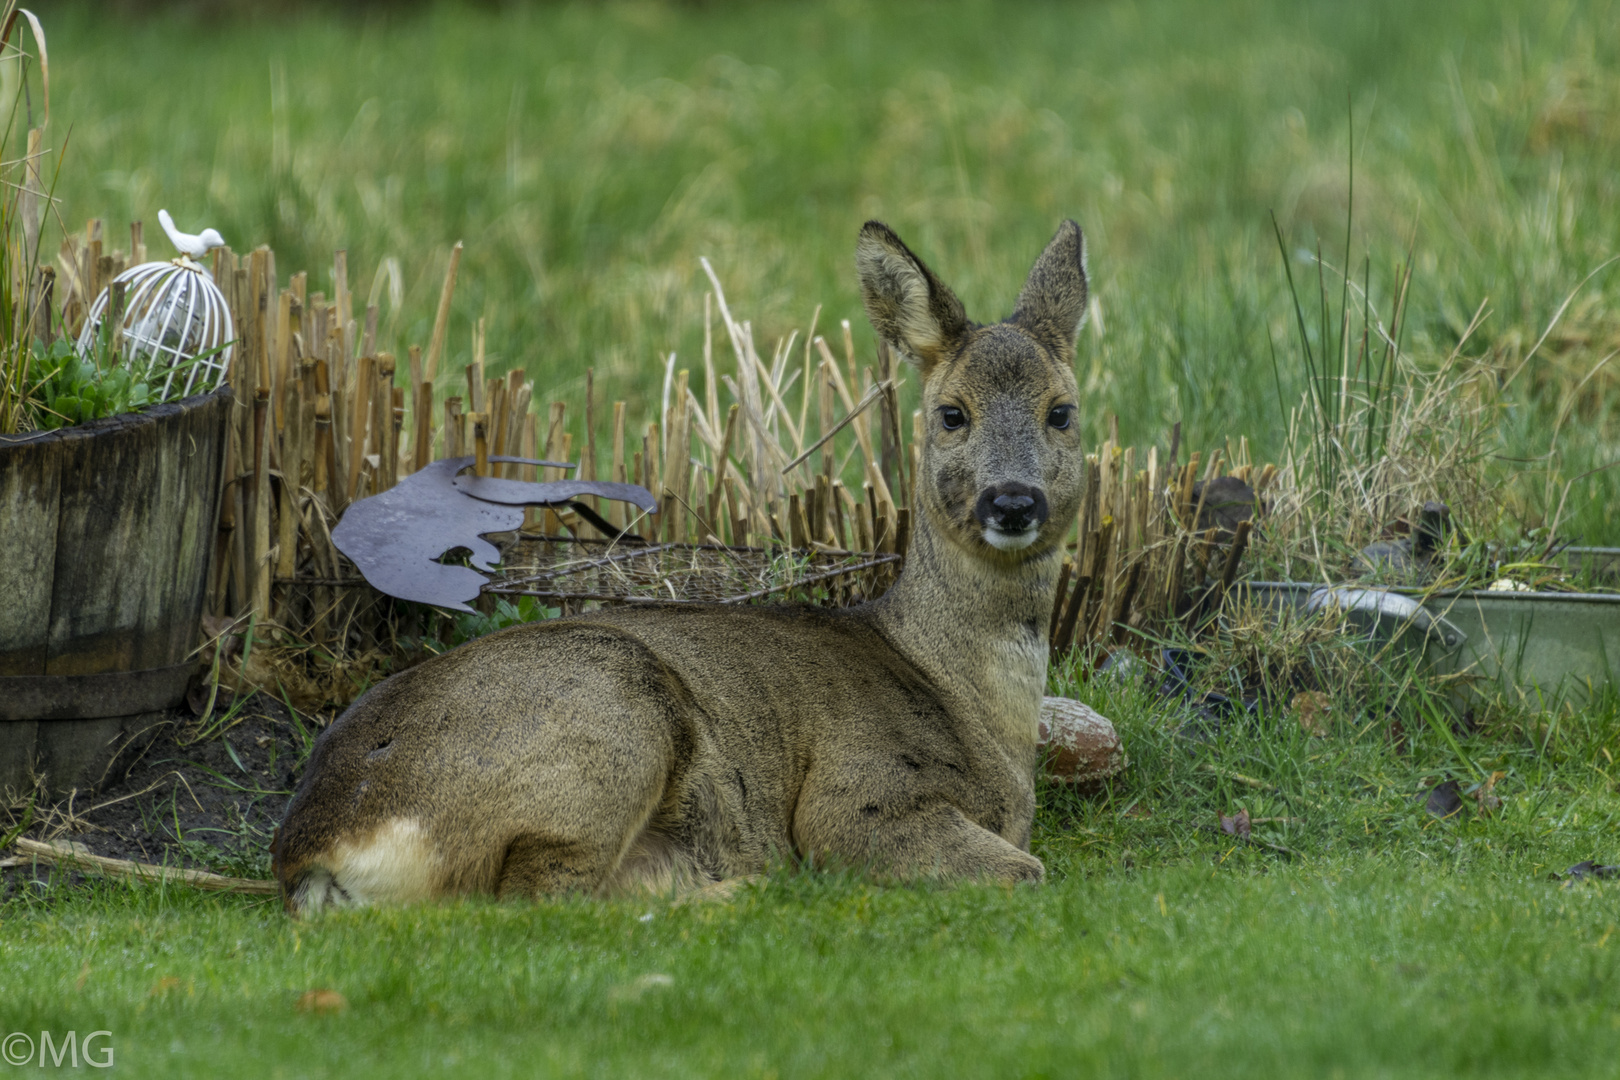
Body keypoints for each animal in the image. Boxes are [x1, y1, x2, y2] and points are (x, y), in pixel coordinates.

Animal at [272, 220, 1095, 913]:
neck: (964, 700)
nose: (1012, 501)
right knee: (546, 899)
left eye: (1063, 412)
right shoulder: (857, 793)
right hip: (611, 717)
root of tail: (314, 851)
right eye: (952, 413)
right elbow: (1028, 870)